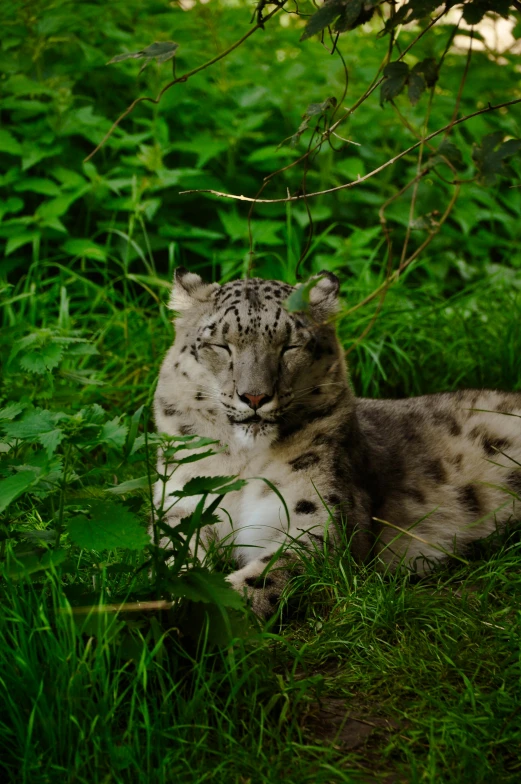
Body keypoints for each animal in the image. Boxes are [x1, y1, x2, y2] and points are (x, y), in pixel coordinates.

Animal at [154, 270, 520, 620]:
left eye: (290, 347)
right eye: (220, 344)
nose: (255, 396)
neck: (242, 462)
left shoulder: (320, 519)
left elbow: (272, 572)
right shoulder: (181, 506)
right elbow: (172, 556)